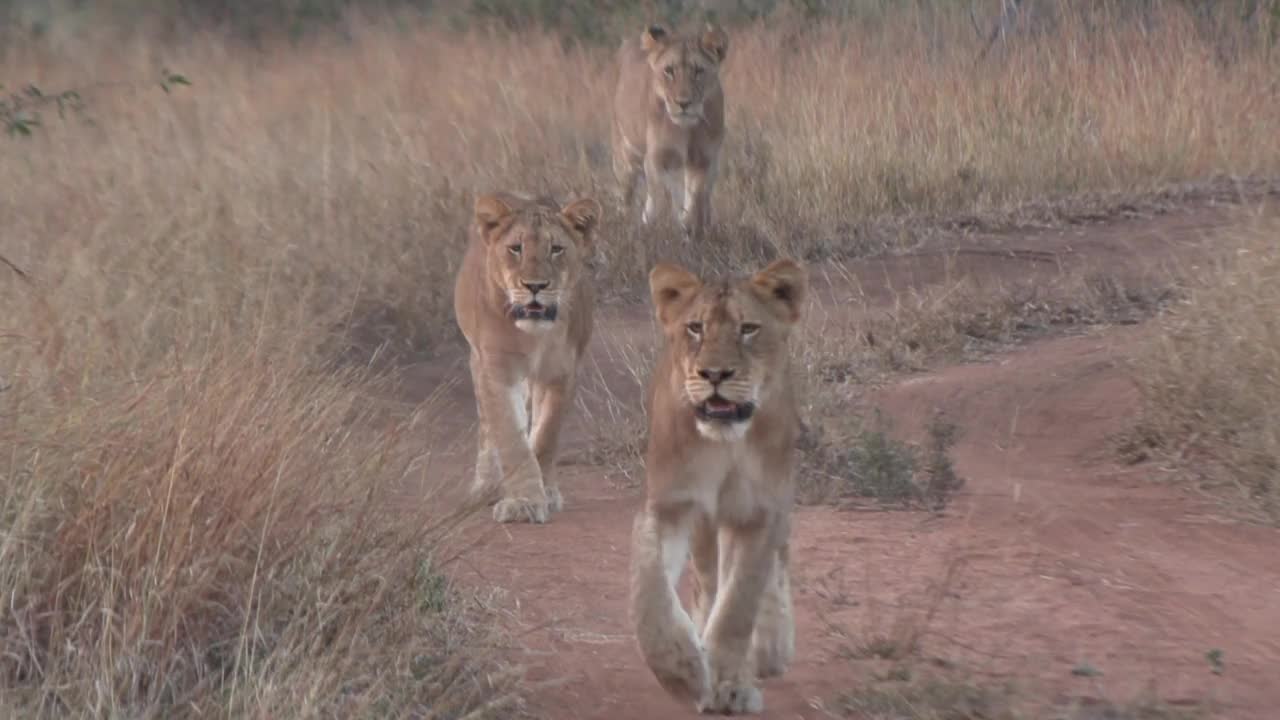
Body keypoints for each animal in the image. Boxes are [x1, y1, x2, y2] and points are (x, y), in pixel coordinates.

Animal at [453, 190, 601, 520]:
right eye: (515, 249)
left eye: (556, 249)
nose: (535, 286)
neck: (533, 337)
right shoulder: (497, 370)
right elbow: (511, 438)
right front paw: (524, 503)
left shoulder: (560, 374)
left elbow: (545, 437)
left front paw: (545, 493)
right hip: (478, 362)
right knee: (488, 427)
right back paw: (485, 487)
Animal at [611, 21, 732, 240]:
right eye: (669, 71)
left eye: (698, 71)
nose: (683, 103)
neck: (687, 130)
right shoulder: (660, 156)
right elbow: (665, 194)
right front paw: (665, 226)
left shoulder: (704, 159)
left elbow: (696, 196)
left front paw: (691, 228)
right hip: (625, 153)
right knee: (628, 193)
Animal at [627, 254, 803, 707]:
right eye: (696, 327)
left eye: (749, 328)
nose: (715, 374)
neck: (725, 445)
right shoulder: (668, 505)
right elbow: (649, 594)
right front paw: (684, 671)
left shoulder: (759, 512)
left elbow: (739, 602)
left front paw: (727, 680)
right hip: (706, 524)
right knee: (707, 580)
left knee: (775, 563)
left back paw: (771, 648)